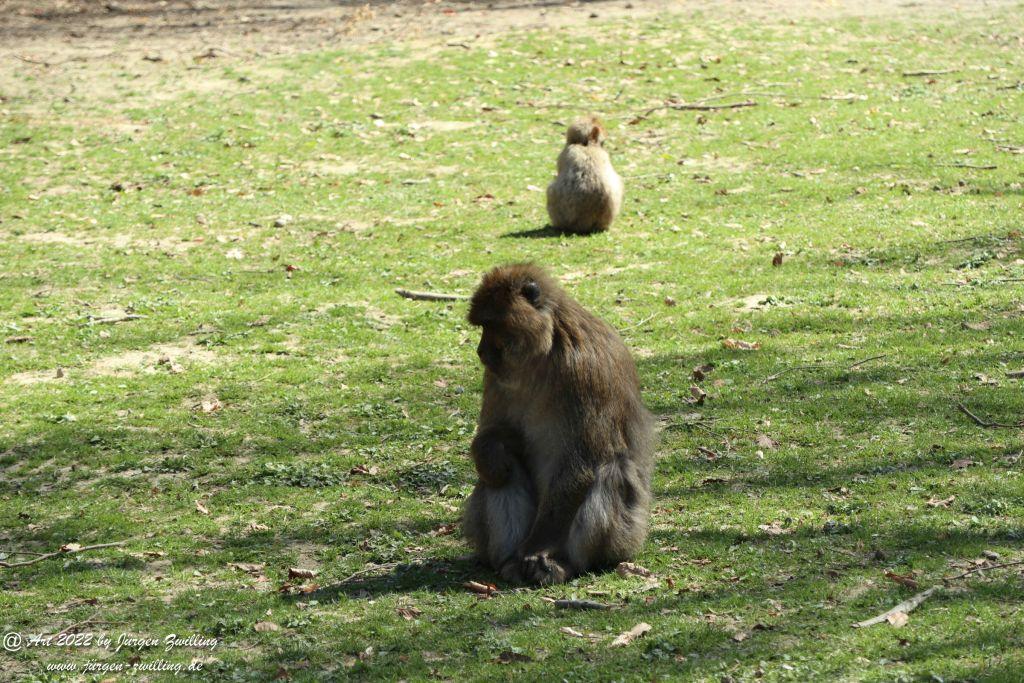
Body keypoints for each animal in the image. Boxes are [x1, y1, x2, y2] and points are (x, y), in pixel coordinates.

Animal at [462, 264, 651, 585]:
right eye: (482, 325)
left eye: (492, 324)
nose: (481, 351)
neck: (543, 352)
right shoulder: (496, 376)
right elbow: (493, 436)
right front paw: (494, 450)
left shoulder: (584, 371)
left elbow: (580, 465)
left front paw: (537, 550)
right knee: (502, 472)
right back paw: (510, 562)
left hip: (625, 534)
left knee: (610, 470)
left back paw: (559, 563)